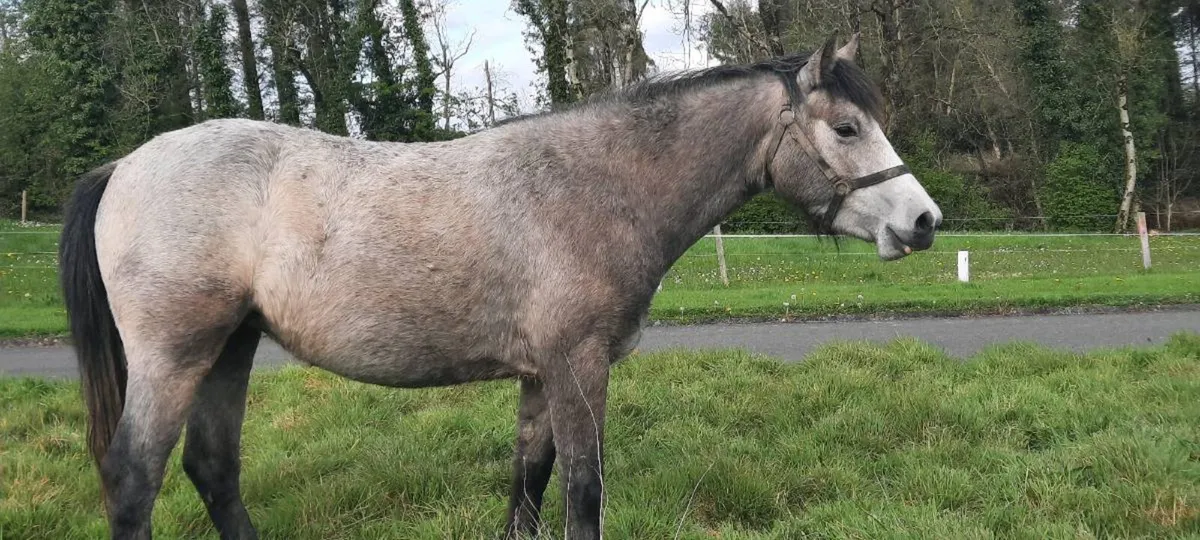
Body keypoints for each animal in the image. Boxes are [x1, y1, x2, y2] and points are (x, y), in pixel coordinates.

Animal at [58, 34, 941, 539]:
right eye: (847, 127)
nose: (925, 220)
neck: (596, 185)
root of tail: (125, 165)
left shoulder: (540, 375)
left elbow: (529, 484)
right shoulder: (578, 368)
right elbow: (583, 491)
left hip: (230, 347)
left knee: (213, 469)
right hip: (176, 354)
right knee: (134, 478)